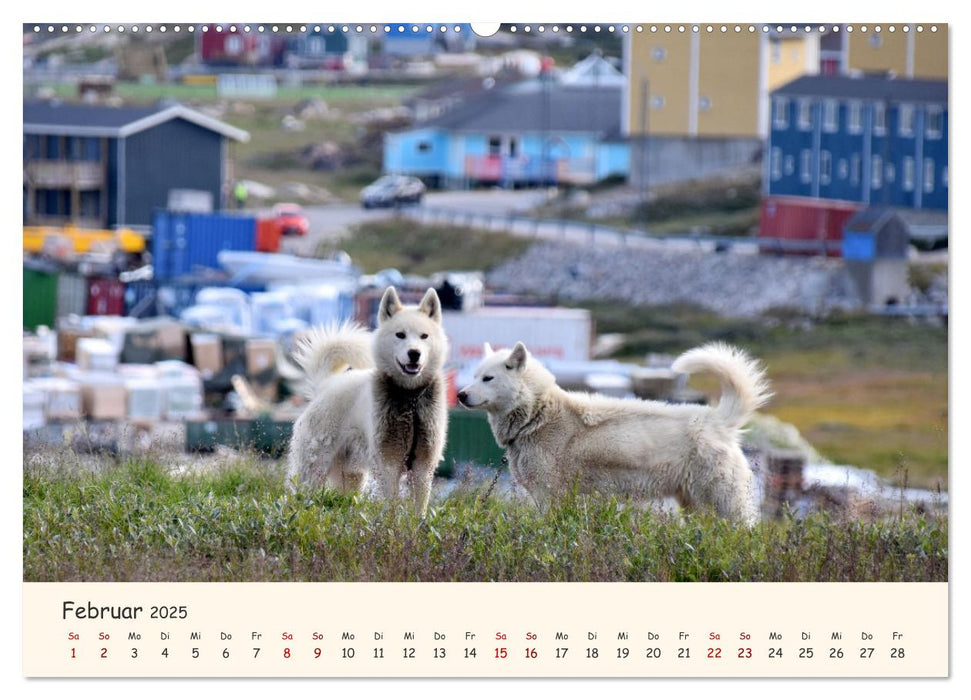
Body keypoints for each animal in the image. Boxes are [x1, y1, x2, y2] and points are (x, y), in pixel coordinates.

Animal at [286, 286, 450, 516]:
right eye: (400, 335)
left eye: (424, 336)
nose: (414, 353)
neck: (410, 399)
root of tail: (326, 385)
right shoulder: (389, 464)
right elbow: (391, 505)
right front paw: (391, 524)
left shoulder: (423, 465)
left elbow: (419, 510)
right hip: (313, 468)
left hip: (351, 477)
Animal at [460, 342, 772, 524]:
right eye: (474, 376)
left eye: (488, 378)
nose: (461, 394)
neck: (537, 414)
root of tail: (717, 419)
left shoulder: (548, 494)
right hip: (693, 505)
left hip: (723, 501)